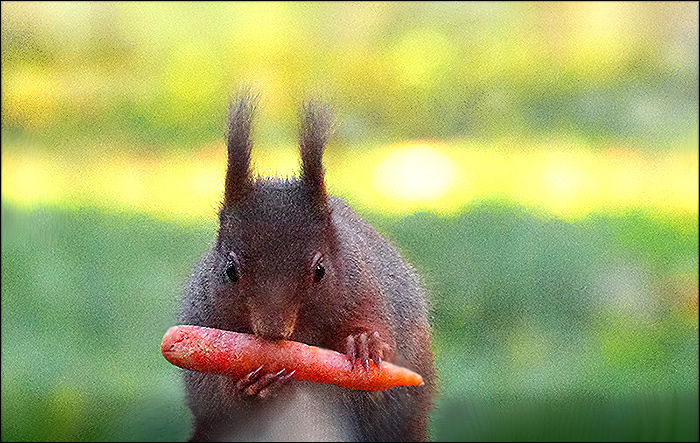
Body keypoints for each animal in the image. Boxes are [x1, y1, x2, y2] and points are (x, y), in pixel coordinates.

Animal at [179, 91, 436, 442]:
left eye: (320, 270)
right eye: (229, 270)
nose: (273, 331)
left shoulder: (368, 291)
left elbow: (384, 370)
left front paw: (365, 343)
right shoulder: (202, 321)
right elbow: (210, 398)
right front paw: (250, 386)